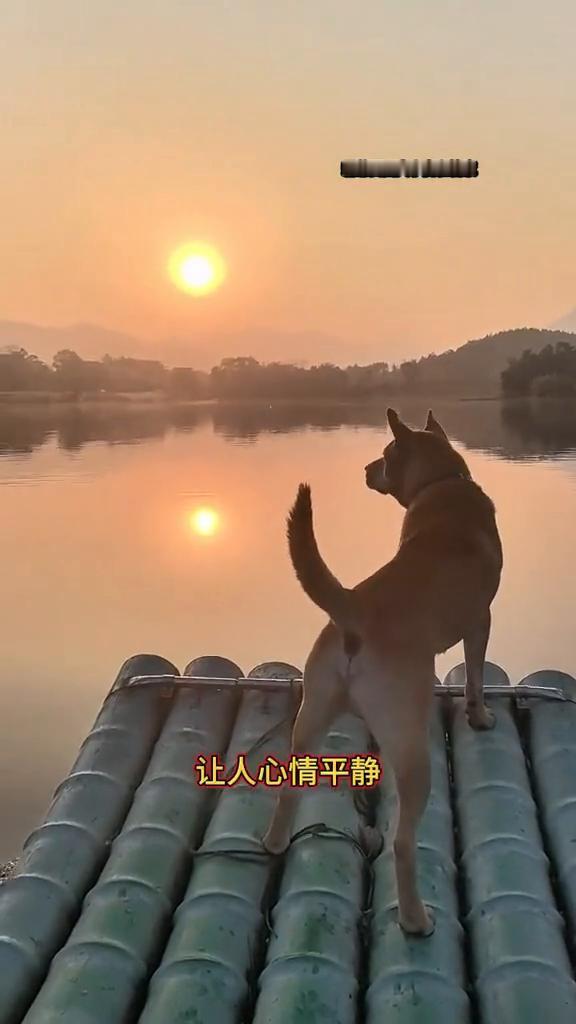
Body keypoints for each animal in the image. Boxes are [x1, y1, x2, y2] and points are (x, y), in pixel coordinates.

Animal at [262, 407, 500, 937]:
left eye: (385, 454)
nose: (366, 469)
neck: (441, 481)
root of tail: (353, 607)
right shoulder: (481, 620)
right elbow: (475, 677)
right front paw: (479, 717)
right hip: (412, 754)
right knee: (403, 844)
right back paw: (415, 919)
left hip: (310, 717)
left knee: (287, 790)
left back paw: (274, 841)